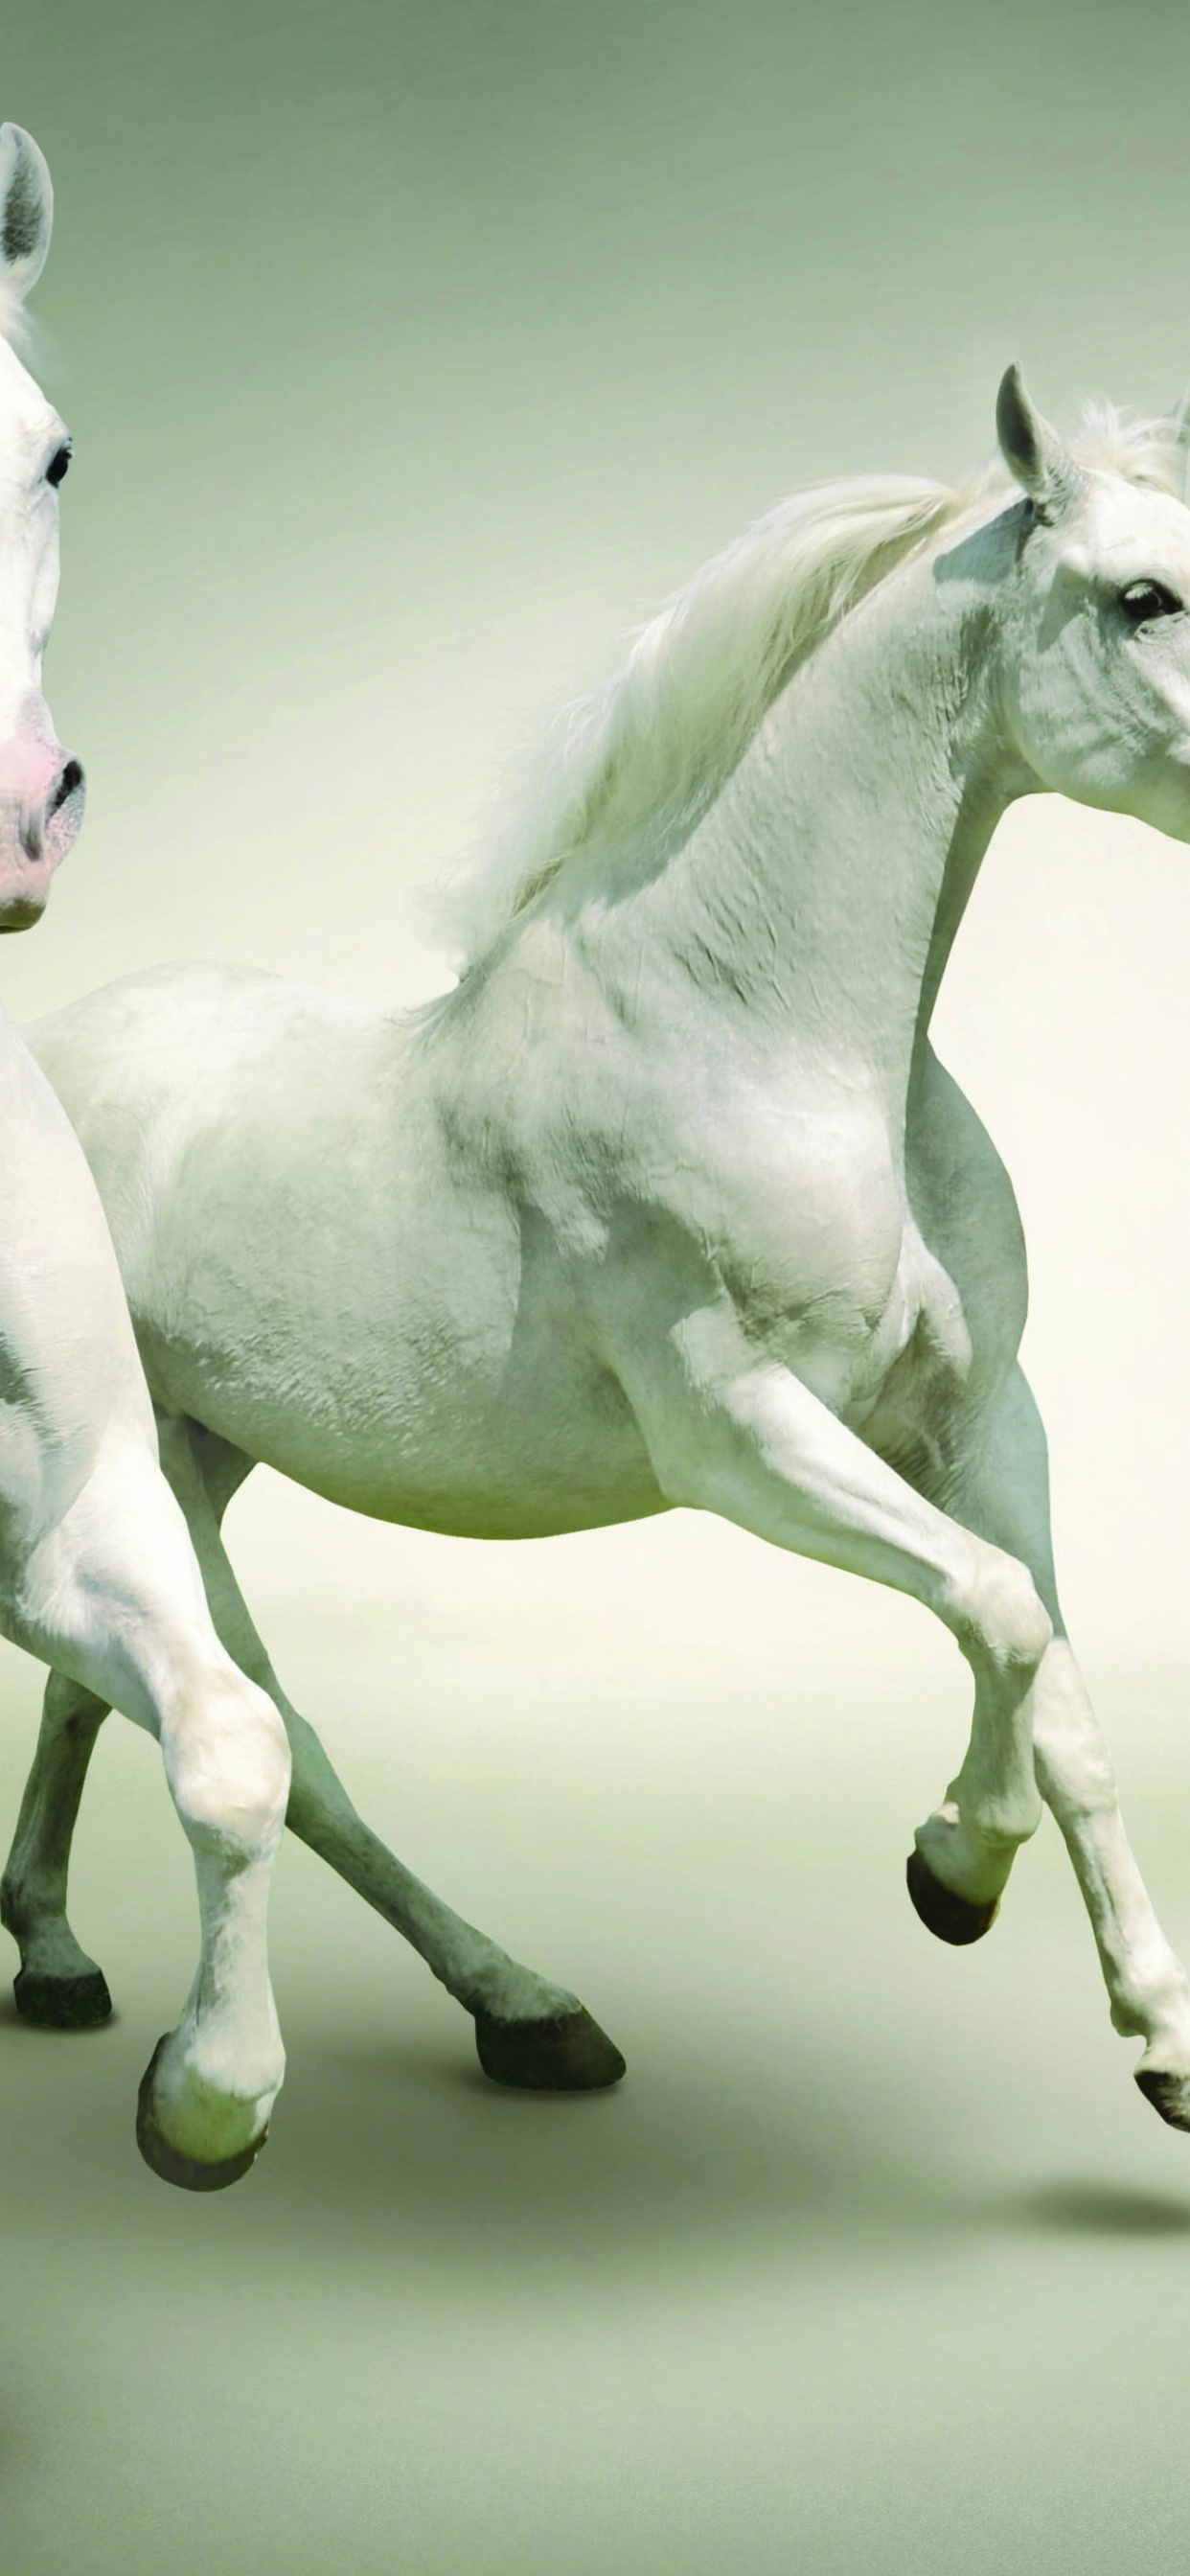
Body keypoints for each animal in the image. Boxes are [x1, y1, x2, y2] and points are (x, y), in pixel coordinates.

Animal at [14, 359, 1190, 2158]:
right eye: (1141, 596)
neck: (765, 1034)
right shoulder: (741, 1435)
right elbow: (997, 1615)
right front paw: (952, 1870)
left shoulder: (984, 1416)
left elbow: (1055, 1682)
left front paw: (1157, 2033)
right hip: (149, 1479)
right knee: (273, 1735)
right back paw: (462, 2017)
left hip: (187, 1458)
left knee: (111, 1697)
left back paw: (80, 1958)